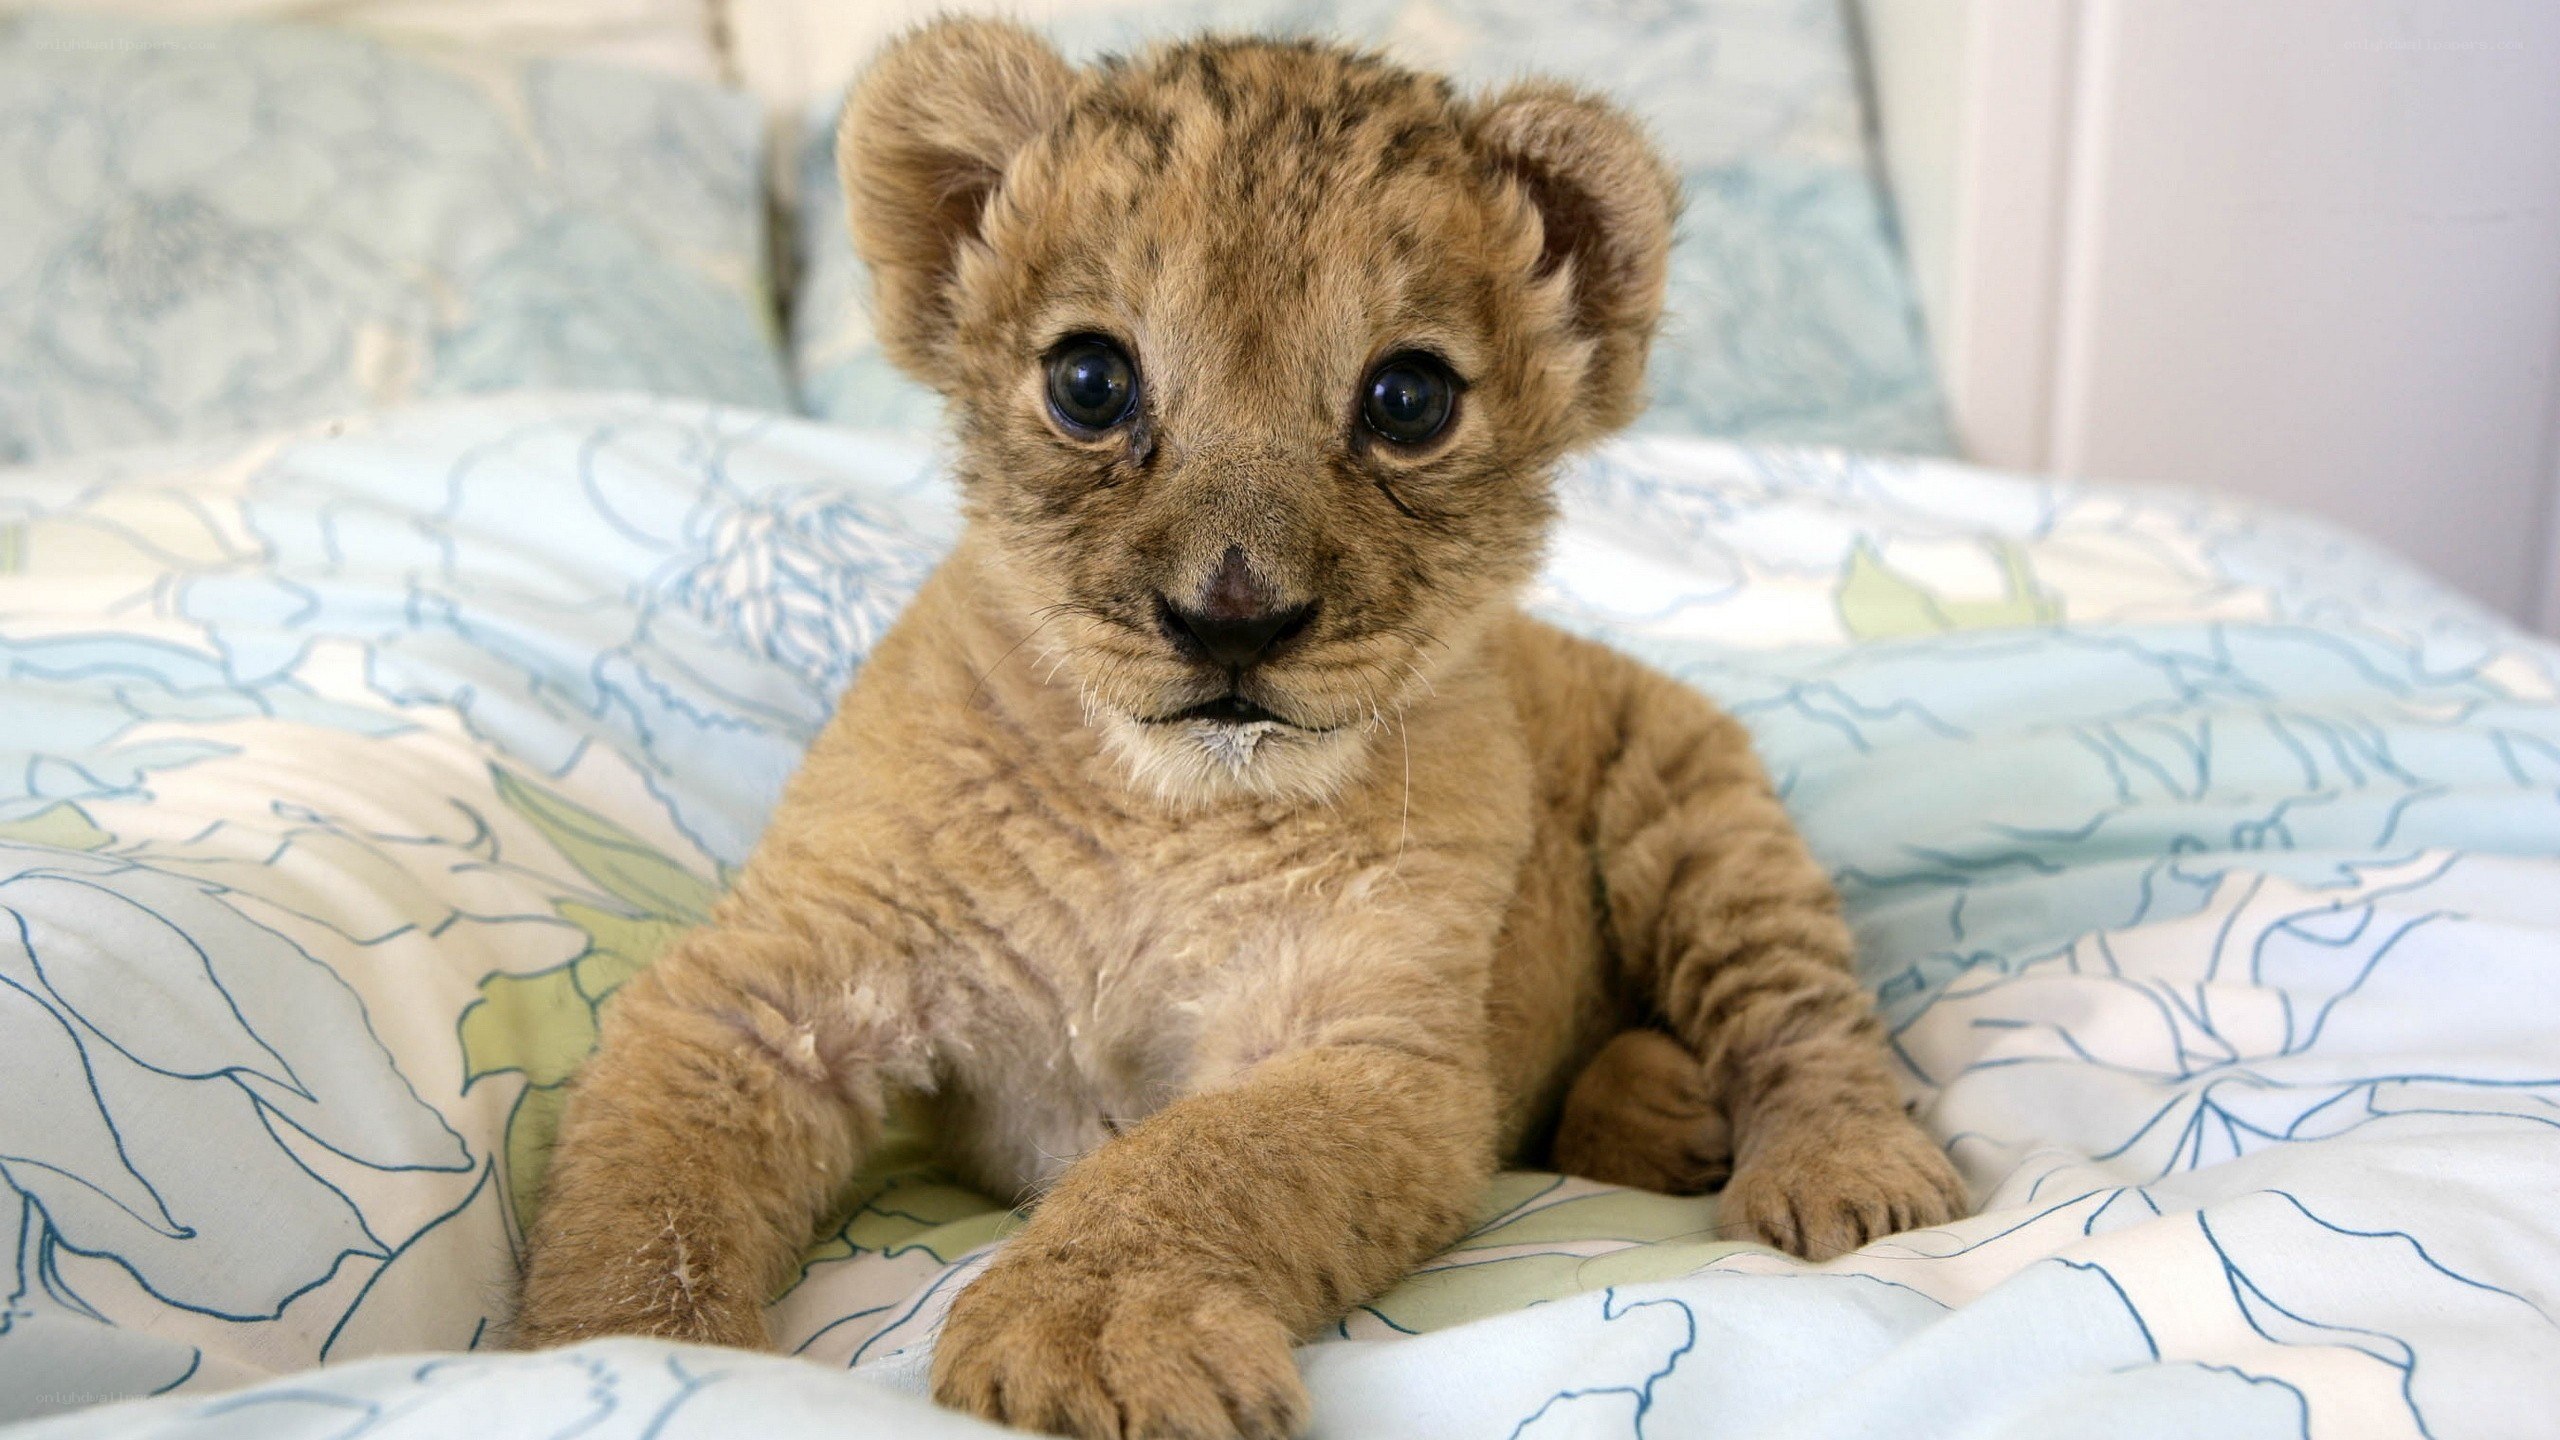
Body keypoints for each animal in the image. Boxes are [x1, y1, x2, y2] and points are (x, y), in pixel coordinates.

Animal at [516, 21, 1968, 1438]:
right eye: (1089, 381)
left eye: (1407, 401)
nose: (1231, 621)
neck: (1157, 810)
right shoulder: (771, 991)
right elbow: (644, 1210)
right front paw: (638, 1365)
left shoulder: (1371, 1051)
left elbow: (1199, 1162)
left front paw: (1087, 1337)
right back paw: (1660, 1111)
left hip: (1703, 821)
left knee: (1803, 1015)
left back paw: (1837, 1175)